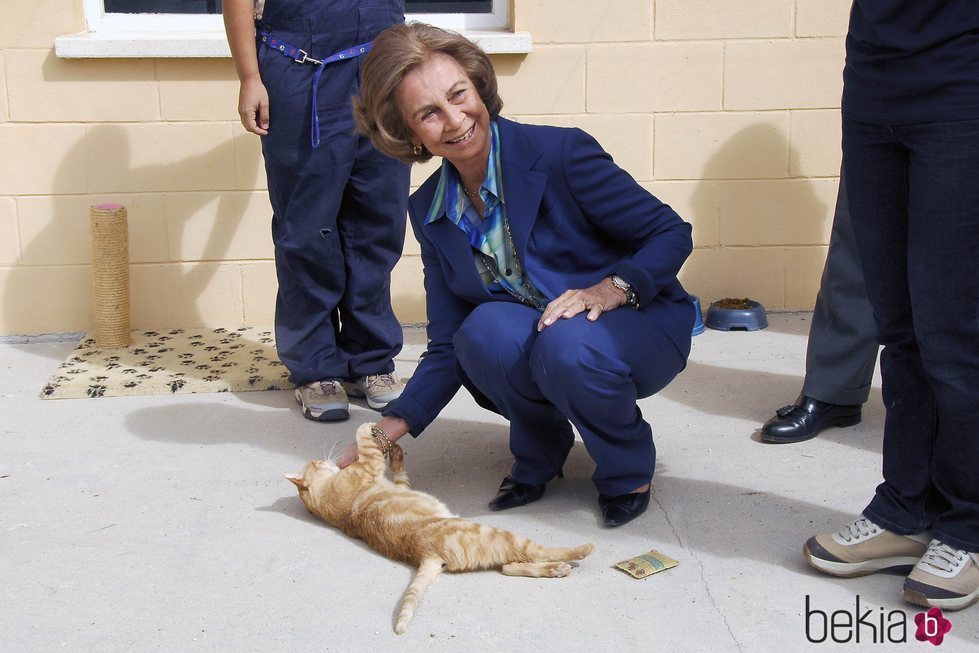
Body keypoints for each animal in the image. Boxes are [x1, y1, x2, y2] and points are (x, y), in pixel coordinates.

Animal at [288, 422, 592, 632]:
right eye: (316, 462)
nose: (325, 458)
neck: (326, 499)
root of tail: (425, 554)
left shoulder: (399, 484)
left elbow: (398, 470)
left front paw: (394, 450)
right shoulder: (367, 467)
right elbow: (364, 440)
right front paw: (367, 428)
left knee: (510, 566)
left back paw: (556, 570)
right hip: (495, 534)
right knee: (534, 553)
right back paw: (578, 552)